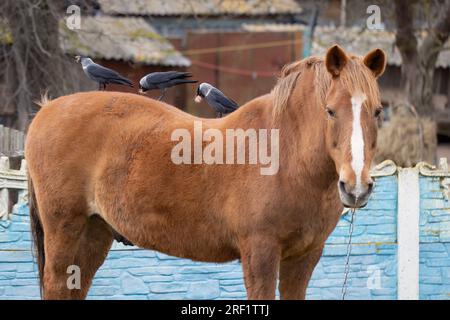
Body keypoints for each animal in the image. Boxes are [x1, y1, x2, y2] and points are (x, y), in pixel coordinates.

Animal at [26, 45, 386, 300]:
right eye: (330, 111)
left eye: (378, 111)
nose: (356, 187)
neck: (284, 152)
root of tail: (46, 110)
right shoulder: (260, 254)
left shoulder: (304, 258)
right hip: (64, 228)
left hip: (94, 232)